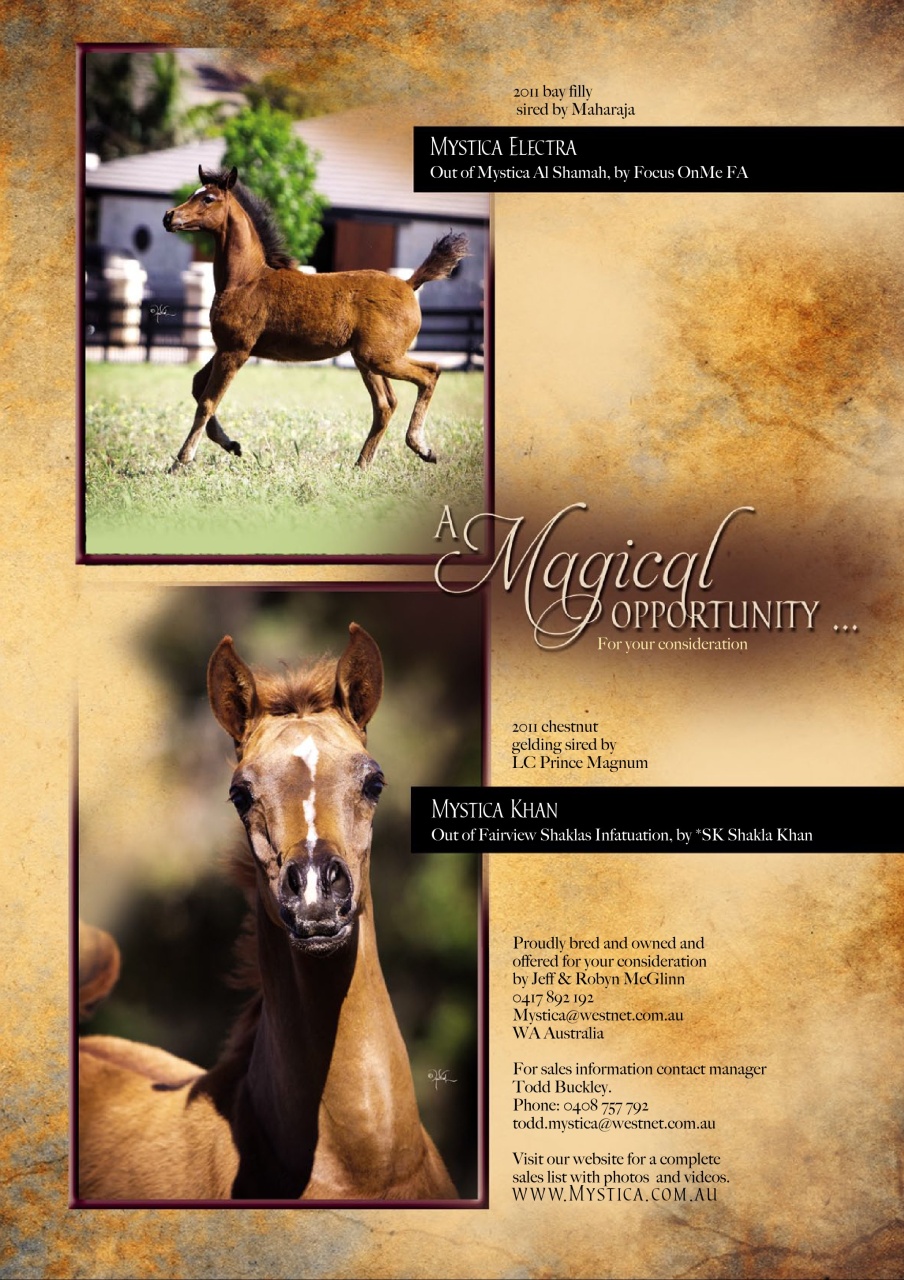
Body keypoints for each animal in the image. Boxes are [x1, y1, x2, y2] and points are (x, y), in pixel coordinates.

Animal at [162, 167, 469, 471]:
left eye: (208, 199)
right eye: (193, 194)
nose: (169, 217)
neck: (245, 281)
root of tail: (408, 284)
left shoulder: (236, 349)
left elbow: (207, 401)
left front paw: (181, 461)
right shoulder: (226, 347)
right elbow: (197, 385)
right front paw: (233, 445)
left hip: (380, 357)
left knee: (430, 373)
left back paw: (421, 447)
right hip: (367, 360)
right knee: (385, 404)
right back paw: (362, 464)